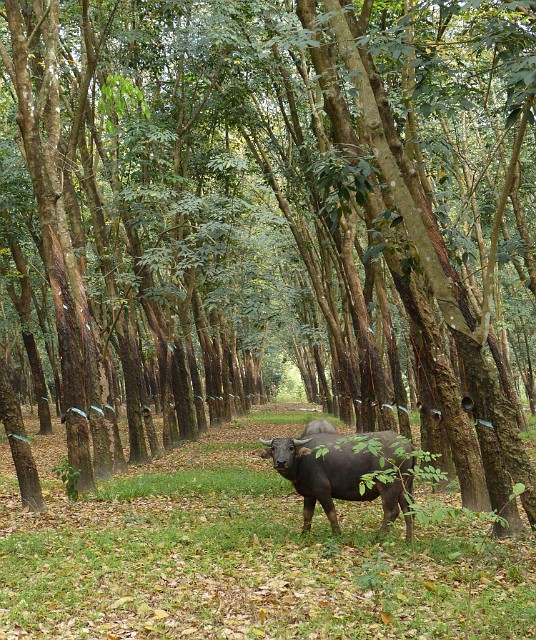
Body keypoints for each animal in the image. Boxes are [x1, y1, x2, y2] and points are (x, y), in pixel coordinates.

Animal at [260, 430, 414, 540]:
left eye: (291, 448)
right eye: (273, 448)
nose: (281, 462)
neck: (303, 461)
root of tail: (407, 445)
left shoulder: (323, 491)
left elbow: (331, 513)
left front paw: (337, 534)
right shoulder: (309, 494)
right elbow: (307, 514)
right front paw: (304, 533)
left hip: (389, 486)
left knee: (391, 511)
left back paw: (379, 537)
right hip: (405, 487)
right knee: (408, 509)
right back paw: (408, 539)